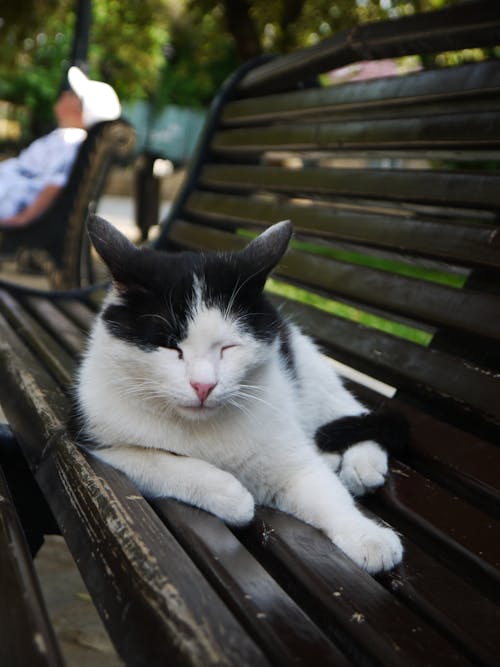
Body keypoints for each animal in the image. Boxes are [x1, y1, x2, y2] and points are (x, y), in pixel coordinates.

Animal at [71, 217, 406, 576]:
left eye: (229, 347)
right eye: (169, 346)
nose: (203, 385)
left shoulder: (292, 460)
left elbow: (327, 494)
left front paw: (367, 536)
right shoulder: (93, 442)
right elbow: (157, 461)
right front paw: (231, 494)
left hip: (309, 371)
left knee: (350, 408)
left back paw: (362, 464)